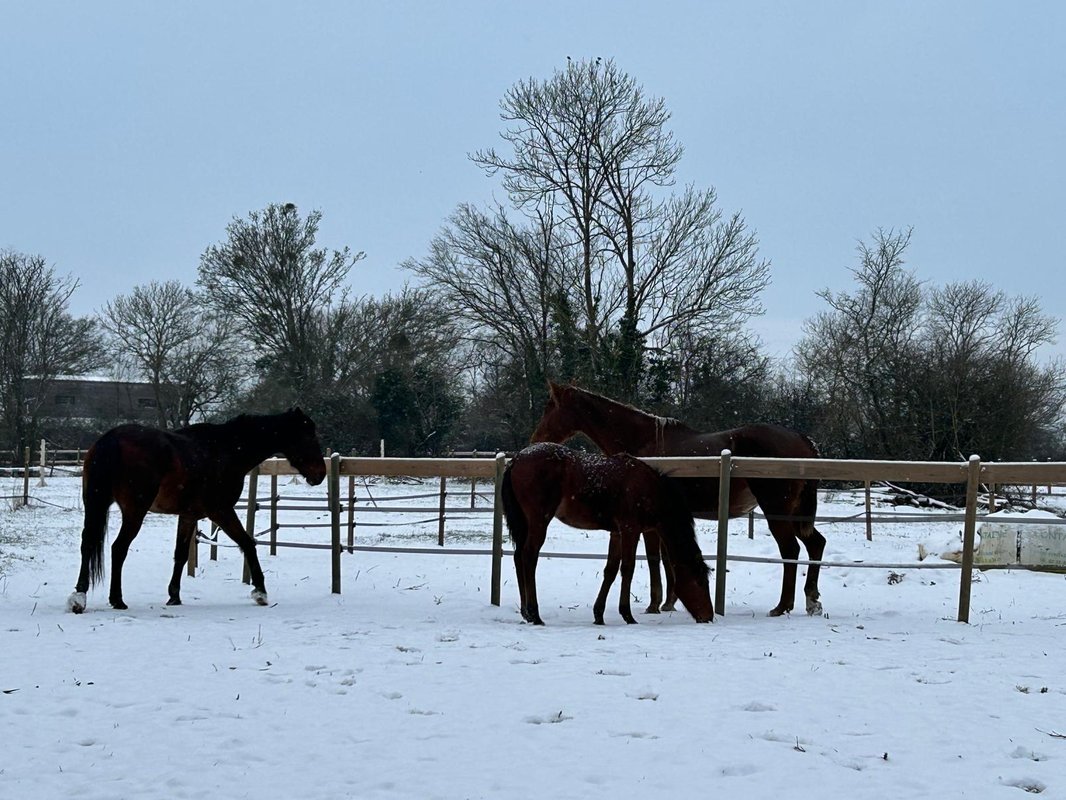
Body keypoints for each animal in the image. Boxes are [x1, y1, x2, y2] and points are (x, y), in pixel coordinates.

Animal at [66, 409, 324, 618]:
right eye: (309, 436)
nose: (320, 474)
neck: (226, 450)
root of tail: (111, 439)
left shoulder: (188, 516)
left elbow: (180, 555)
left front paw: (174, 596)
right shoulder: (221, 511)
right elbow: (248, 543)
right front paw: (260, 591)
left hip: (95, 504)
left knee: (88, 543)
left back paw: (79, 597)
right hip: (134, 512)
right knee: (118, 548)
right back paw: (117, 599)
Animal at [501, 445, 716, 627]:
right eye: (700, 582)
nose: (709, 616)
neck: (649, 489)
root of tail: (517, 458)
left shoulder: (617, 533)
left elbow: (610, 570)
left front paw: (599, 614)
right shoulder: (630, 530)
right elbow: (627, 568)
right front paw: (627, 615)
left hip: (525, 523)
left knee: (518, 557)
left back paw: (526, 613)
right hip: (539, 521)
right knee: (529, 557)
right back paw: (535, 614)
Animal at [530, 386, 822, 618]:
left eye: (549, 407)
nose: (535, 440)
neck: (644, 441)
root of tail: (803, 440)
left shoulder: (648, 524)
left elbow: (654, 559)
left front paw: (656, 604)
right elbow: (666, 559)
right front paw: (669, 601)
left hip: (777, 511)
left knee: (791, 550)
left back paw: (782, 606)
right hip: (795, 515)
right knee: (816, 544)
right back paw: (811, 600)